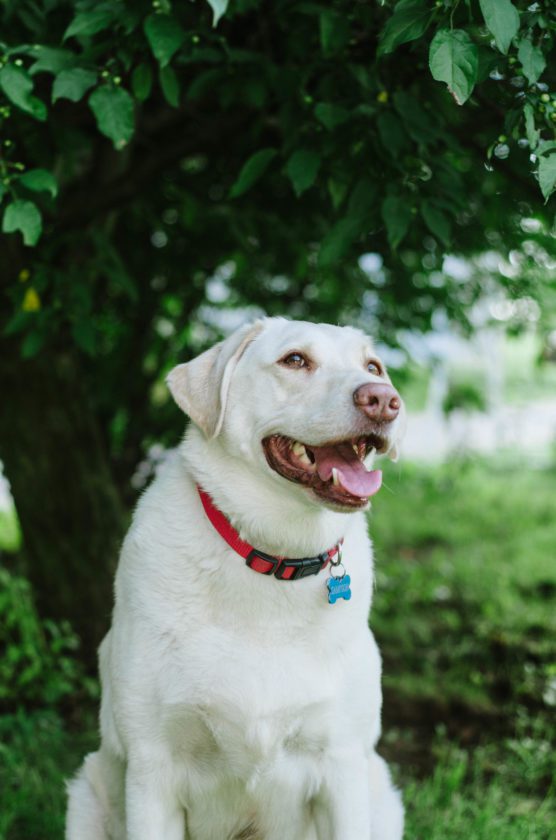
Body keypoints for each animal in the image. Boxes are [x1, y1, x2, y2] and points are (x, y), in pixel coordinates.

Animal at [66, 317, 406, 840]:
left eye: (373, 367)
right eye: (294, 360)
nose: (384, 399)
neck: (274, 557)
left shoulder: (343, 766)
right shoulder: (152, 770)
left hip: (380, 794)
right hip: (86, 794)